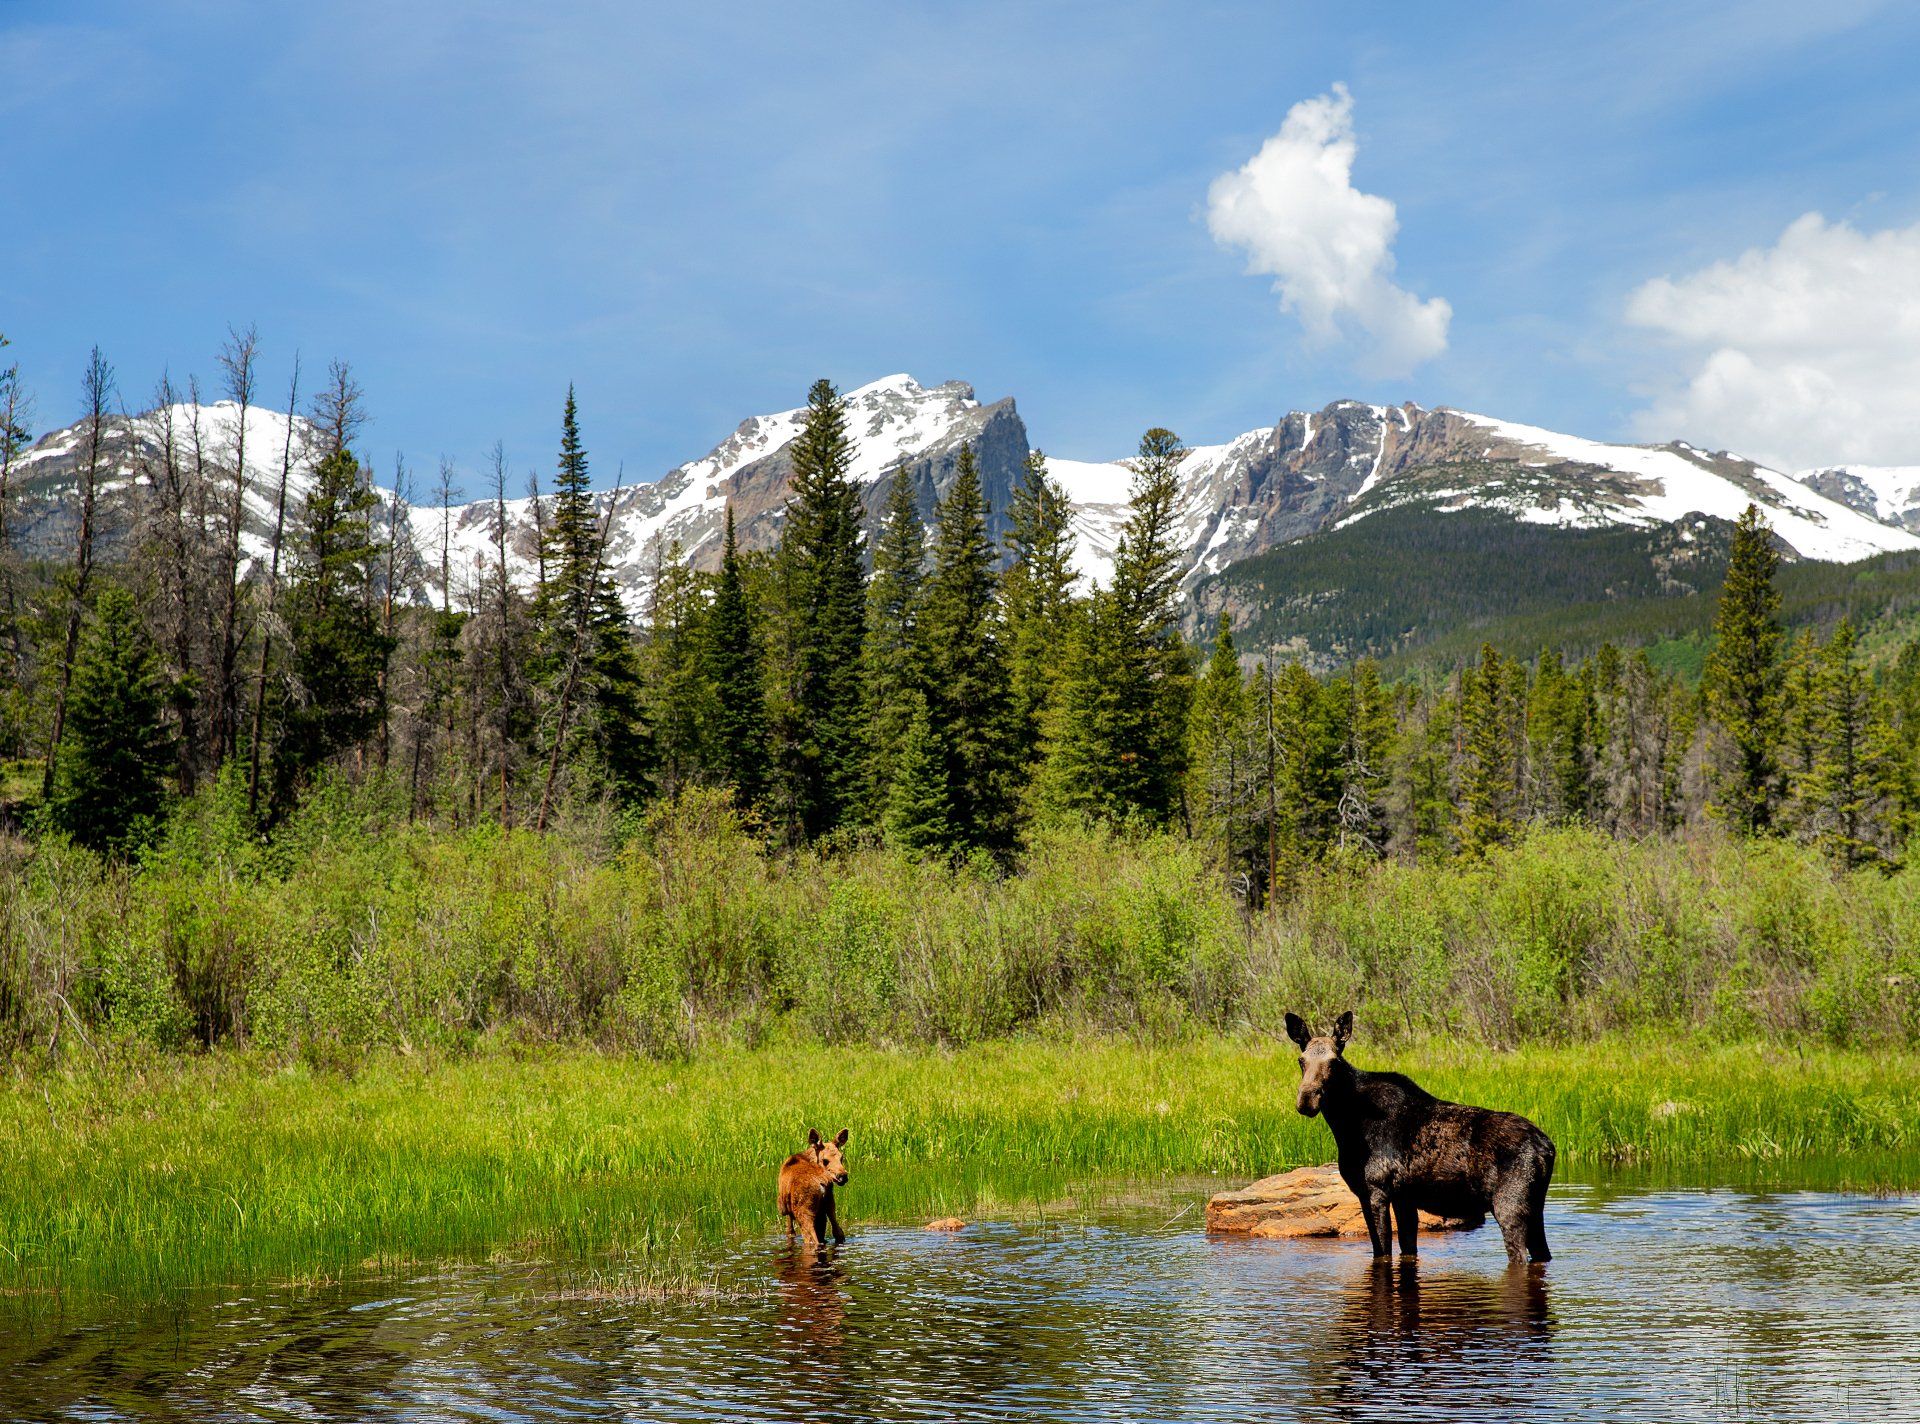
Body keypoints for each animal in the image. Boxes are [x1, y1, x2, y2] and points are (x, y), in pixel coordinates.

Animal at [1286, 1011, 1555, 1265]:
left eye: (1334, 1062)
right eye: (1301, 1060)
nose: (1306, 1100)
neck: (1345, 1124)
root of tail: (1548, 1148)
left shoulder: (1375, 1191)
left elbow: (1382, 1252)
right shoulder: (1404, 1198)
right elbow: (1407, 1250)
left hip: (1509, 1205)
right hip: (1535, 1208)